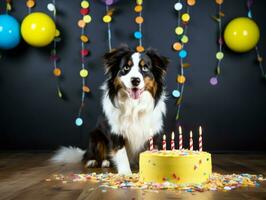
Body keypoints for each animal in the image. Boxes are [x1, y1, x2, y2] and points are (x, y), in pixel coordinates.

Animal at [51, 46, 168, 174]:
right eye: (126, 68)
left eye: (145, 68)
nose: (135, 80)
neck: (134, 105)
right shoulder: (115, 131)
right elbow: (121, 152)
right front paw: (126, 173)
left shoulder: (153, 132)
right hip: (96, 135)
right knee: (91, 154)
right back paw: (95, 161)